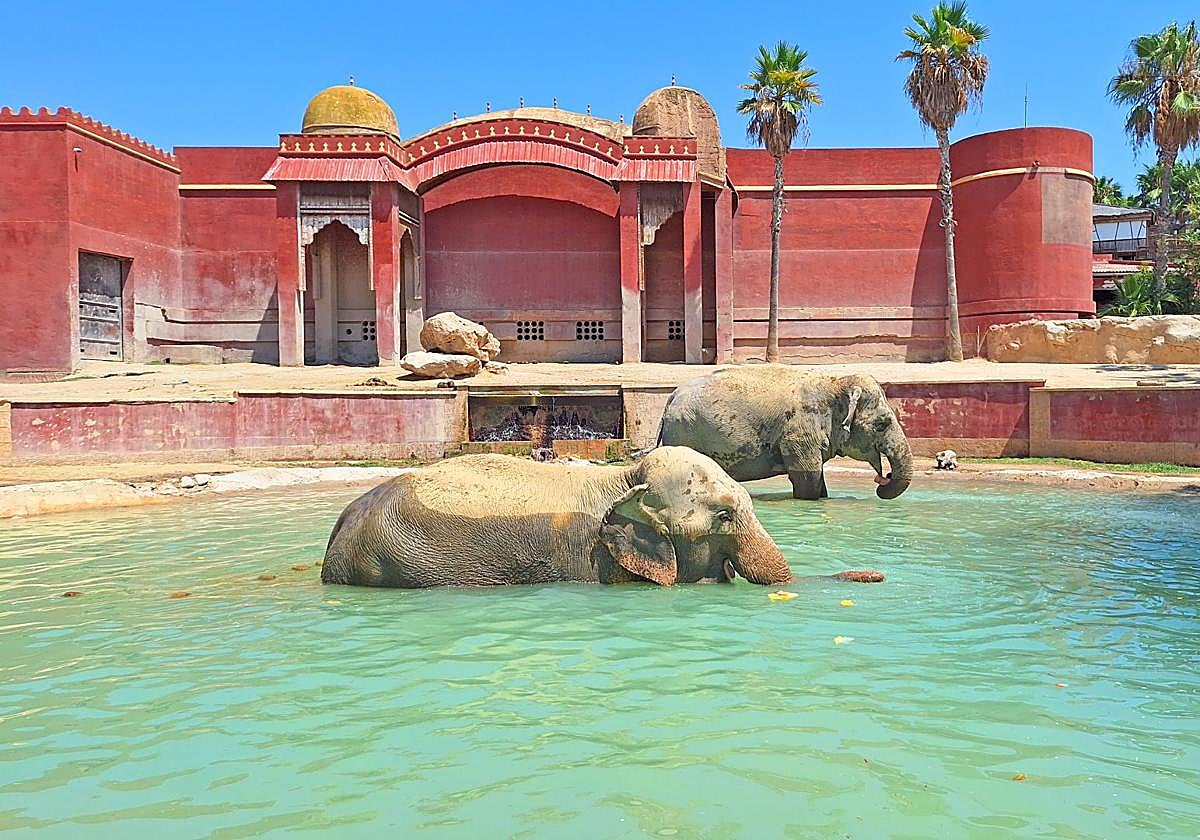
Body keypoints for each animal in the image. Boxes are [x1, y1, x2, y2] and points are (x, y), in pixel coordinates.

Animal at [657, 366, 913, 501]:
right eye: (882, 424)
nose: (885, 477)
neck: (836, 383)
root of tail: (670, 398)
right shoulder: (799, 433)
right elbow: (807, 477)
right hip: (684, 432)